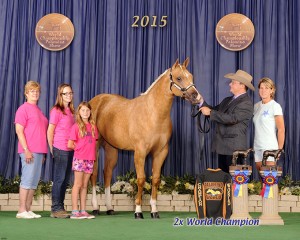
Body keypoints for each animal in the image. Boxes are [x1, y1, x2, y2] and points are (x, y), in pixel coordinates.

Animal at [88, 58, 203, 219]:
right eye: (179, 78)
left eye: (191, 76)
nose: (196, 97)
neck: (153, 114)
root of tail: (96, 101)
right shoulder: (140, 152)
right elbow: (141, 179)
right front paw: (138, 211)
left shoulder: (161, 152)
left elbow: (155, 180)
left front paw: (154, 211)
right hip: (96, 147)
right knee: (94, 174)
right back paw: (95, 207)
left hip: (112, 149)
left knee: (107, 173)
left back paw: (110, 208)